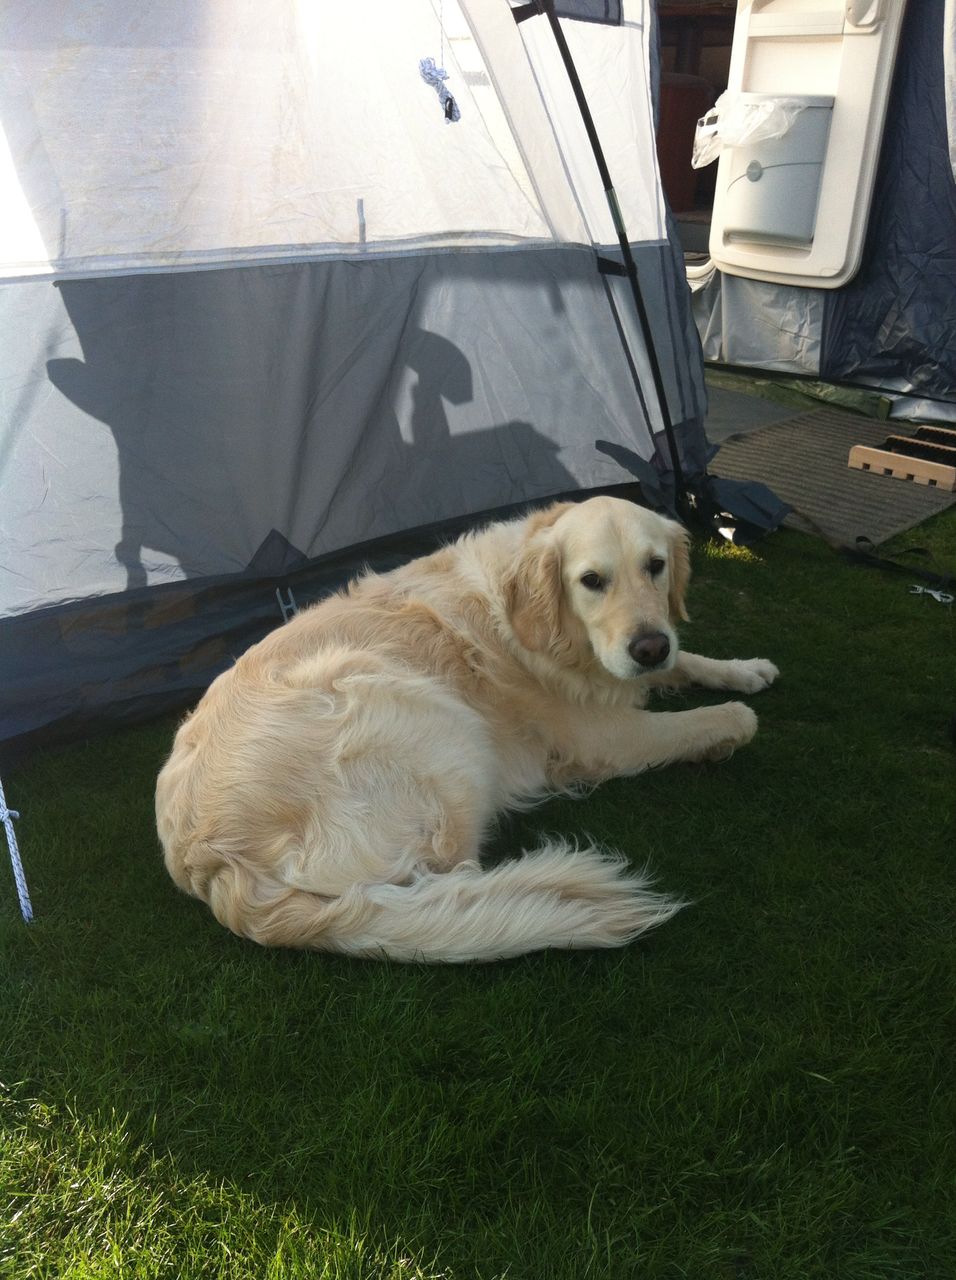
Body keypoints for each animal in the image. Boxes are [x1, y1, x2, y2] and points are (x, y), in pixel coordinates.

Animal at [156, 496, 778, 962]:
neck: (542, 622)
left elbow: (686, 660)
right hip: (430, 719)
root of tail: (213, 866)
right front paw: (728, 723)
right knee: (450, 877)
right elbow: (714, 720)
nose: (647, 646)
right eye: (591, 580)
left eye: (656, 565)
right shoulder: (604, 737)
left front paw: (744, 668)